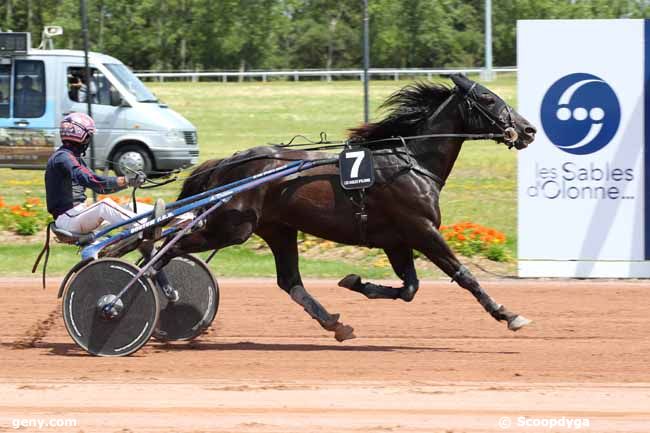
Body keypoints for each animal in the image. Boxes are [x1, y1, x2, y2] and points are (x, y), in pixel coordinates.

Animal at [163, 73, 536, 340]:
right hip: (231, 227)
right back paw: (162, 288)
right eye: (488, 98)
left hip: (278, 229)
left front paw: (355, 282)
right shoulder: (422, 230)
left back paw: (334, 323)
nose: (528, 129)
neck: (411, 161)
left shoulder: (396, 240)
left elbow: (409, 289)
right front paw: (508, 314)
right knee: (169, 247)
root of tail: (228, 162)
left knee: (289, 281)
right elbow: (464, 275)